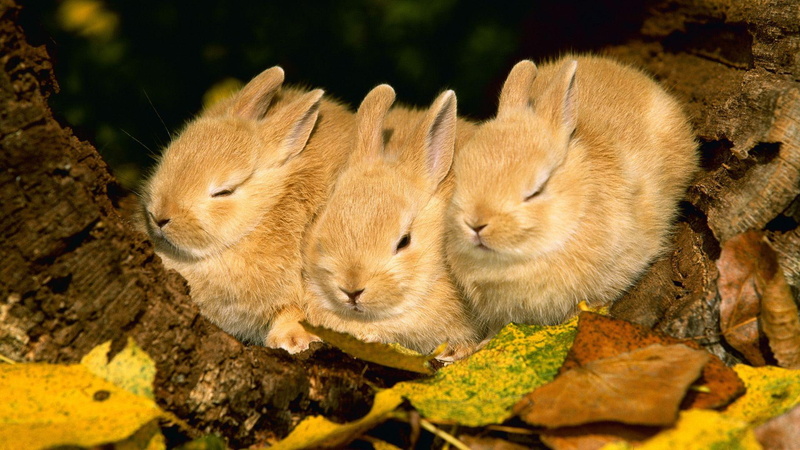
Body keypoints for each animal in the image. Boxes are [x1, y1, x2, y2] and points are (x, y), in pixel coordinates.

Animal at [140, 66, 355, 353]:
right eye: (169, 156)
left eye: (224, 192)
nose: (159, 217)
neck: (270, 210)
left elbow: (295, 312)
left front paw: (294, 341)